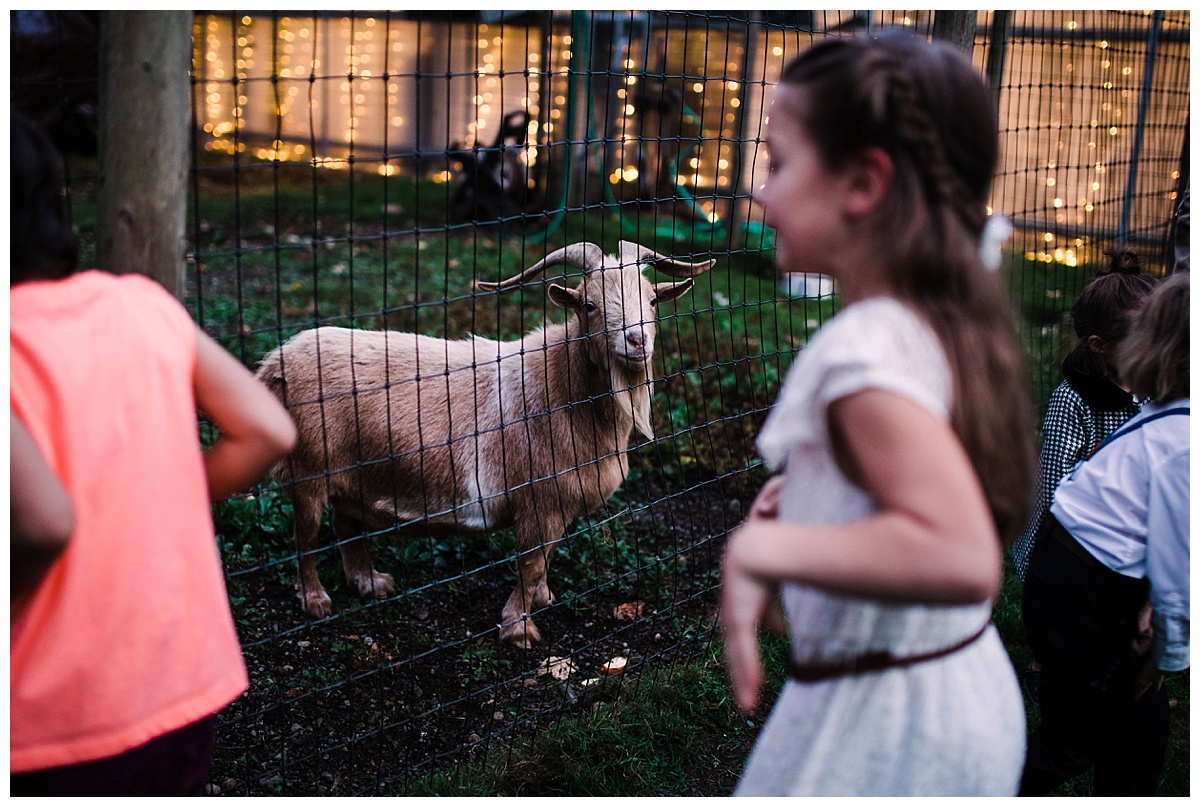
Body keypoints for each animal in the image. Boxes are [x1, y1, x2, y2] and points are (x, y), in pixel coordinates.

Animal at [255, 241, 710, 648]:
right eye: (589, 305)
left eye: (652, 301)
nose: (636, 341)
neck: (558, 386)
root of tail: (275, 363)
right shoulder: (538, 503)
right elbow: (530, 563)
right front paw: (518, 630)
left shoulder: (558, 506)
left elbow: (545, 558)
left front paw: (543, 599)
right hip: (308, 469)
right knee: (305, 536)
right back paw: (316, 601)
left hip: (351, 475)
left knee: (346, 524)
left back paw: (370, 583)